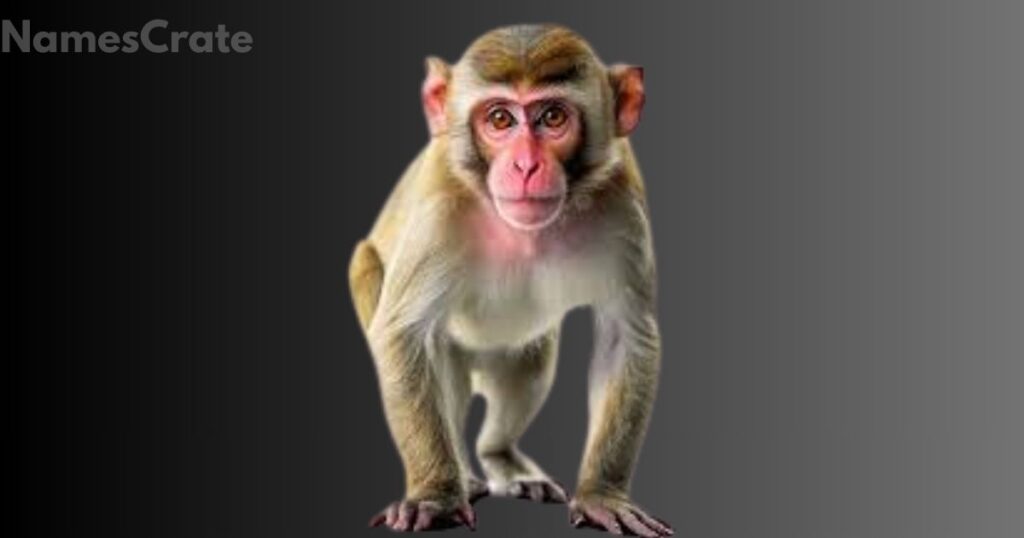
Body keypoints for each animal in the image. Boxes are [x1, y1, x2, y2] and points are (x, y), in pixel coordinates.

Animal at [350, 25, 670, 536]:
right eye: (500, 119)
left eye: (552, 116)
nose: (525, 165)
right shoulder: (441, 208)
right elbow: (403, 335)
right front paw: (435, 495)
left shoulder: (624, 206)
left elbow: (627, 335)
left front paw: (602, 496)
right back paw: (462, 474)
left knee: (527, 365)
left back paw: (501, 458)